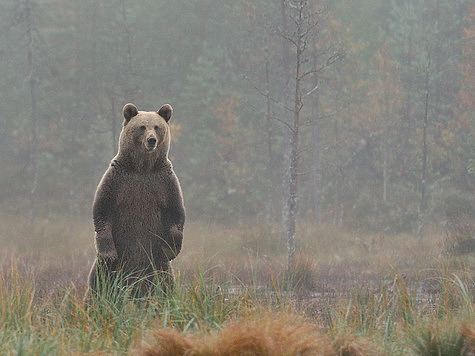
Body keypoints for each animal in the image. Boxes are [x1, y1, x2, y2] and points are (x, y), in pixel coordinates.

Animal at [85, 103, 184, 300]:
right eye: (142, 126)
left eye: (157, 127)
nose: (151, 140)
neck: (142, 167)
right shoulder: (118, 180)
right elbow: (102, 209)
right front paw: (109, 252)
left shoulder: (164, 181)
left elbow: (176, 211)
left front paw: (170, 250)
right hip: (107, 270)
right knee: (98, 284)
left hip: (158, 268)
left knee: (165, 285)